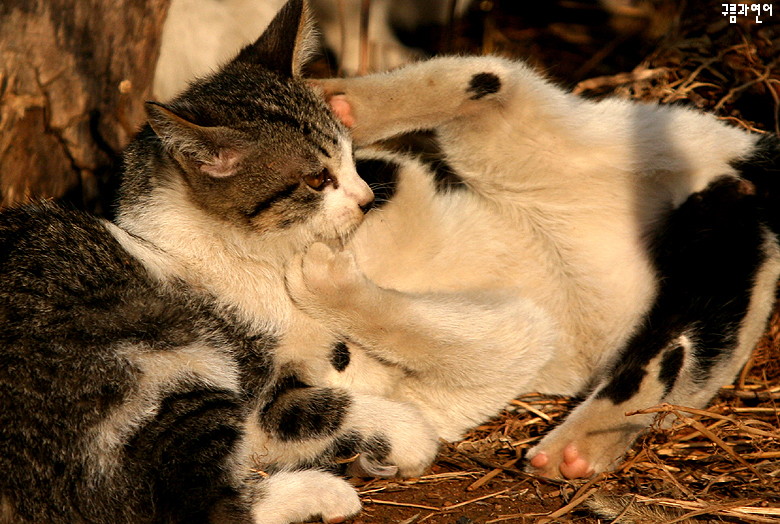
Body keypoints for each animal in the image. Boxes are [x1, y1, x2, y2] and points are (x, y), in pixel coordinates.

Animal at [0, 2, 438, 520]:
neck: (257, 259)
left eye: (352, 156)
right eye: (317, 180)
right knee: (209, 507)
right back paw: (324, 493)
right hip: (163, 361)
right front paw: (410, 431)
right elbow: (317, 410)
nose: (367, 199)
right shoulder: (252, 386)